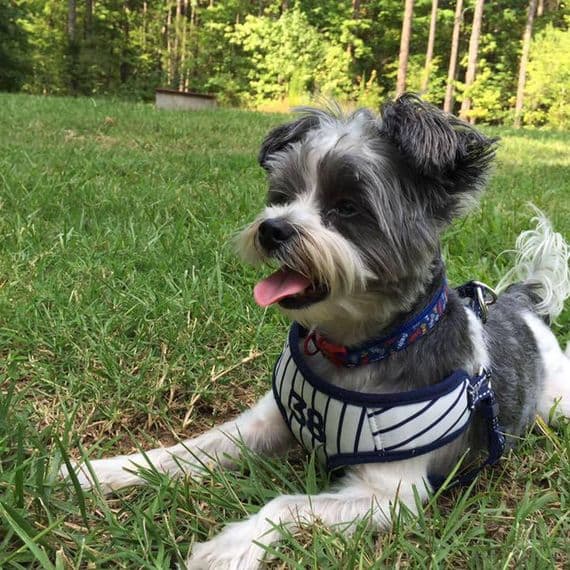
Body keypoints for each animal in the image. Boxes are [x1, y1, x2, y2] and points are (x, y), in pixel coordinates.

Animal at [63, 95, 570, 569]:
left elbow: (287, 504)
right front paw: (100, 472)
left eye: (347, 207)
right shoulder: (266, 422)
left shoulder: (389, 495)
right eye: (281, 195)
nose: (272, 229)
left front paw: (229, 546)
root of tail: (523, 302)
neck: (353, 352)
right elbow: (188, 450)